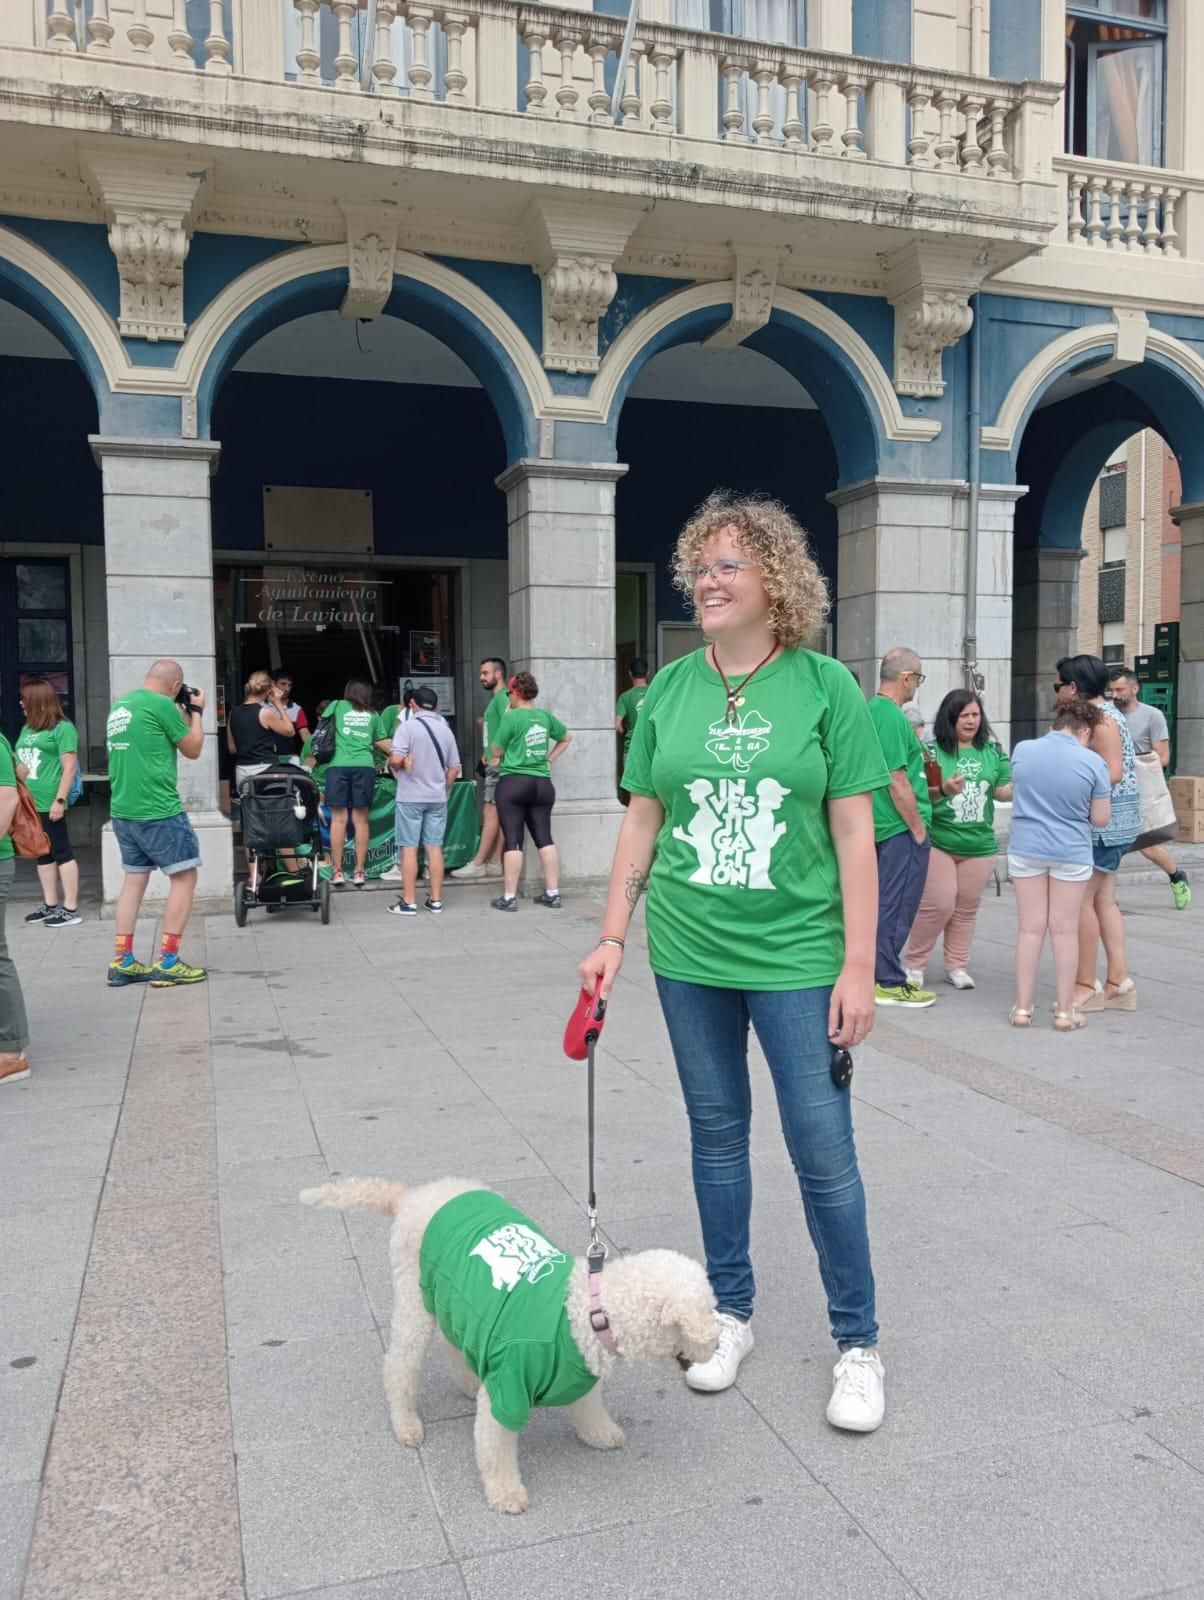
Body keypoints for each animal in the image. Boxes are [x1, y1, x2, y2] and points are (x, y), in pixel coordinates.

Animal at [299, 1177, 714, 1510]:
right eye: (711, 1308)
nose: (717, 1342)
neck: (588, 1310)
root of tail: (413, 1196)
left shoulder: (577, 1373)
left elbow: (589, 1410)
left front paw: (602, 1434)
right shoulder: (507, 1386)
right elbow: (494, 1448)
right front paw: (506, 1495)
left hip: (453, 1299)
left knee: (454, 1342)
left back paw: (467, 1382)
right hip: (416, 1300)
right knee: (400, 1366)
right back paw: (407, 1424)